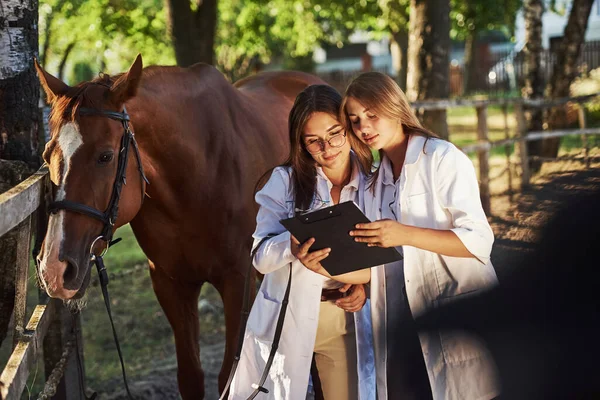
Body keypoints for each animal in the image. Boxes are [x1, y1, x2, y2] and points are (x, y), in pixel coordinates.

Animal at [34, 54, 324, 398]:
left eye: (105, 156)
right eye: (47, 155)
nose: (54, 268)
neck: (197, 176)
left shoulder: (237, 280)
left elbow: (228, 375)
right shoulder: (171, 284)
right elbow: (190, 376)